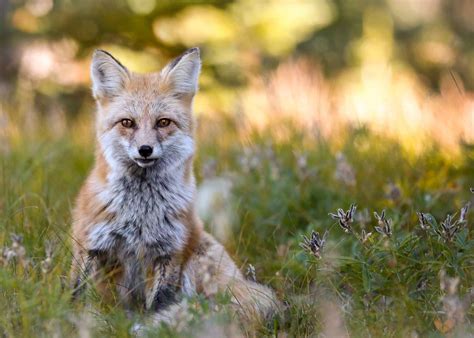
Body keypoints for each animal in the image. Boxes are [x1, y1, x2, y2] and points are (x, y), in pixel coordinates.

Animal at [70, 46, 278, 328]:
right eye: (127, 123)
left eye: (163, 122)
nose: (145, 149)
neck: (140, 212)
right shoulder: (89, 243)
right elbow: (75, 293)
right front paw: (67, 318)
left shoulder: (170, 251)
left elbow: (161, 303)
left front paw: (153, 326)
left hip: (198, 256)